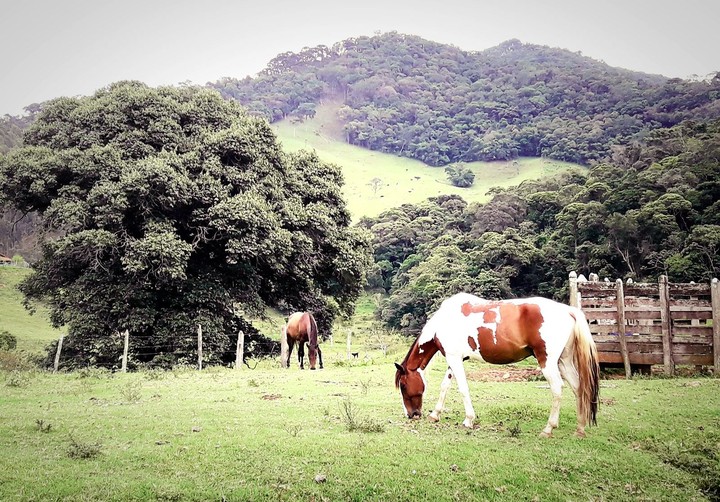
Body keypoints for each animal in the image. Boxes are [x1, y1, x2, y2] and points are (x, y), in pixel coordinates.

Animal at [394, 293, 599, 438]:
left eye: (403, 386)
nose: (411, 415)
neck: (444, 322)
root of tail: (568, 311)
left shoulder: (454, 359)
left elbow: (462, 389)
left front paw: (468, 420)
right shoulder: (455, 360)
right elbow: (445, 386)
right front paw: (435, 414)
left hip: (547, 361)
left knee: (557, 388)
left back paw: (548, 429)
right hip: (564, 361)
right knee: (579, 387)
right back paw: (580, 428)